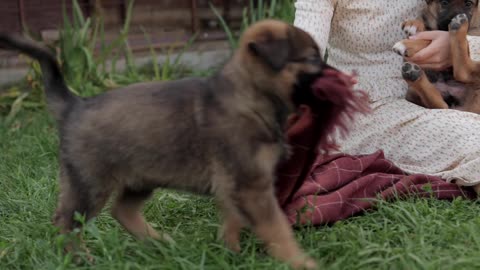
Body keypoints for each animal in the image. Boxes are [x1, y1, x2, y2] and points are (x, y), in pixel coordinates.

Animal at [0, 20, 330, 268]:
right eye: (312, 58)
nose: (338, 75)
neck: (249, 94)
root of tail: (74, 104)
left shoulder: (236, 186)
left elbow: (233, 220)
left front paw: (230, 253)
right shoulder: (252, 186)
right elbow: (278, 229)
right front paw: (301, 262)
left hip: (141, 177)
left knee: (121, 210)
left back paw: (160, 244)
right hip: (89, 184)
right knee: (66, 222)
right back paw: (81, 259)